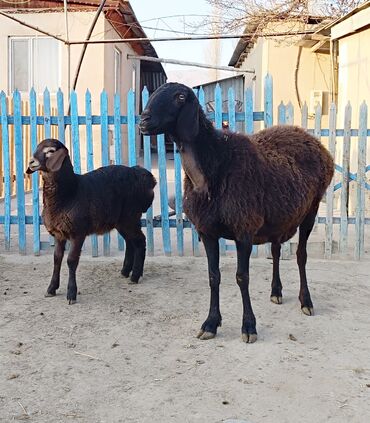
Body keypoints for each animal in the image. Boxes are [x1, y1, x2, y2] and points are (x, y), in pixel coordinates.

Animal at [26, 139, 156, 304]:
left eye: (50, 151)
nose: (31, 162)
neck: (70, 193)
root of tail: (143, 176)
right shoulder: (59, 234)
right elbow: (57, 259)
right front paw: (51, 289)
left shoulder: (78, 232)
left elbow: (71, 261)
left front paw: (71, 294)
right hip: (122, 221)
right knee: (130, 242)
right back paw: (125, 271)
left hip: (130, 216)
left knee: (140, 241)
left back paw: (134, 276)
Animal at [139, 83, 336, 344]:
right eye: (153, 93)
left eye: (180, 97)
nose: (143, 120)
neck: (214, 167)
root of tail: (312, 139)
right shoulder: (207, 231)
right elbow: (213, 276)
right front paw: (210, 323)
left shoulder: (244, 230)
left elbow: (242, 277)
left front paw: (249, 326)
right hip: (278, 218)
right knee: (275, 251)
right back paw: (276, 291)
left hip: (310, 211)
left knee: (301, 255)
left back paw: (306, 302)